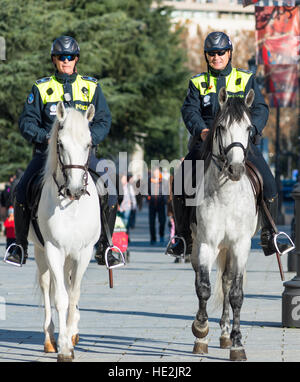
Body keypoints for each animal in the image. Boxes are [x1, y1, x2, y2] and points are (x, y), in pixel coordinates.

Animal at [30, 103, 101, 362]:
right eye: (60, 143)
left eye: (88, 144)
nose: (75, 189)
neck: (71, 206)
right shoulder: (53, 250)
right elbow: (60, 298)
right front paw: (63, 347)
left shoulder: (84, 253)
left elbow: (74, 295)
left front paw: (70, 337)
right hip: (40, 252)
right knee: (47, 286)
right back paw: (50, 338)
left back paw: (73, 332)